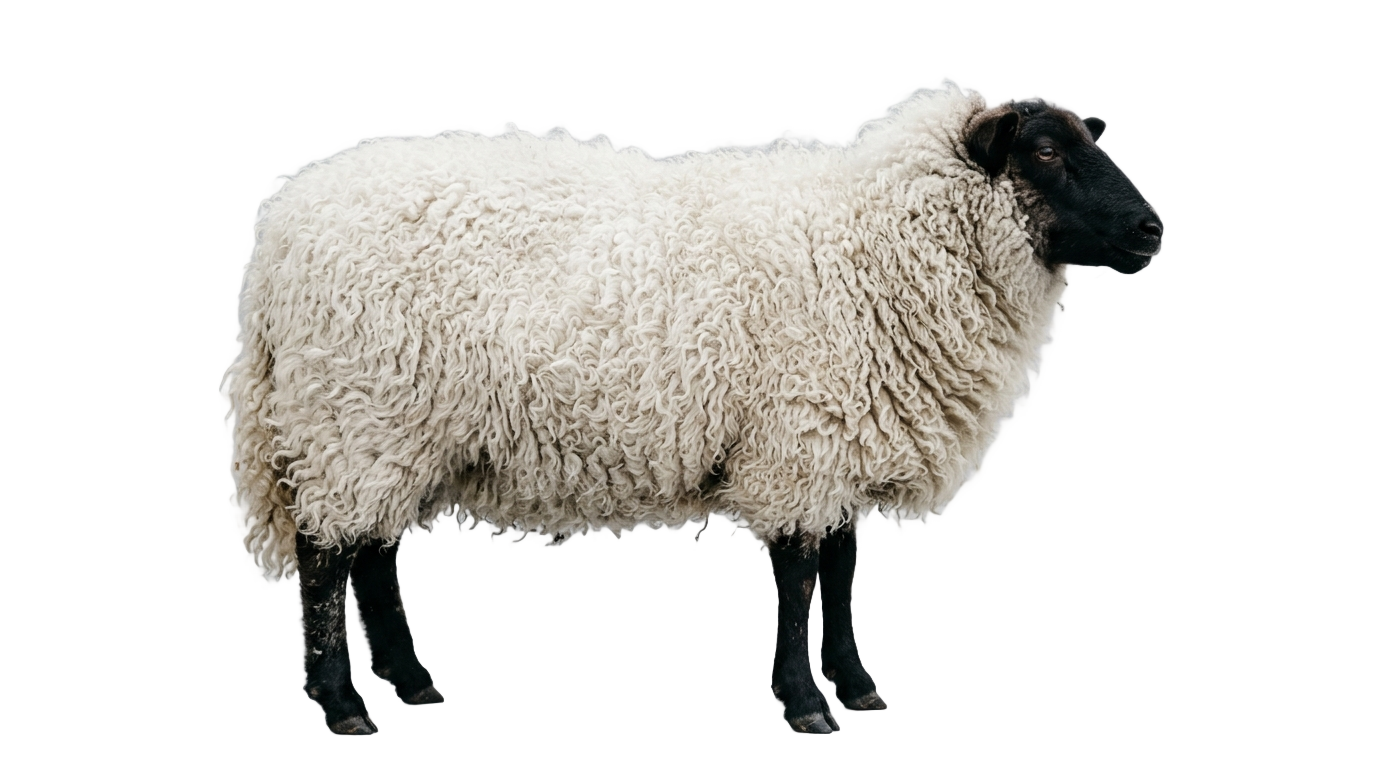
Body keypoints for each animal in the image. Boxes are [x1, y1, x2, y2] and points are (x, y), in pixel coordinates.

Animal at [229, 88, 1162, 735]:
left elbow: (838, 570)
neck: (875, 246)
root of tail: (282, 230)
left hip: (384, 429)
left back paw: (415, 686)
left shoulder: (832, 445)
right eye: (1046, 150)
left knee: (371, 553)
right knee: (324, 556)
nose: (1152, 231)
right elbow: (800, 578)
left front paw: (858, 691)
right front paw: (807, 707)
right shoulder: (798, 441)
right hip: (353, 414)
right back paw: (342, 707)